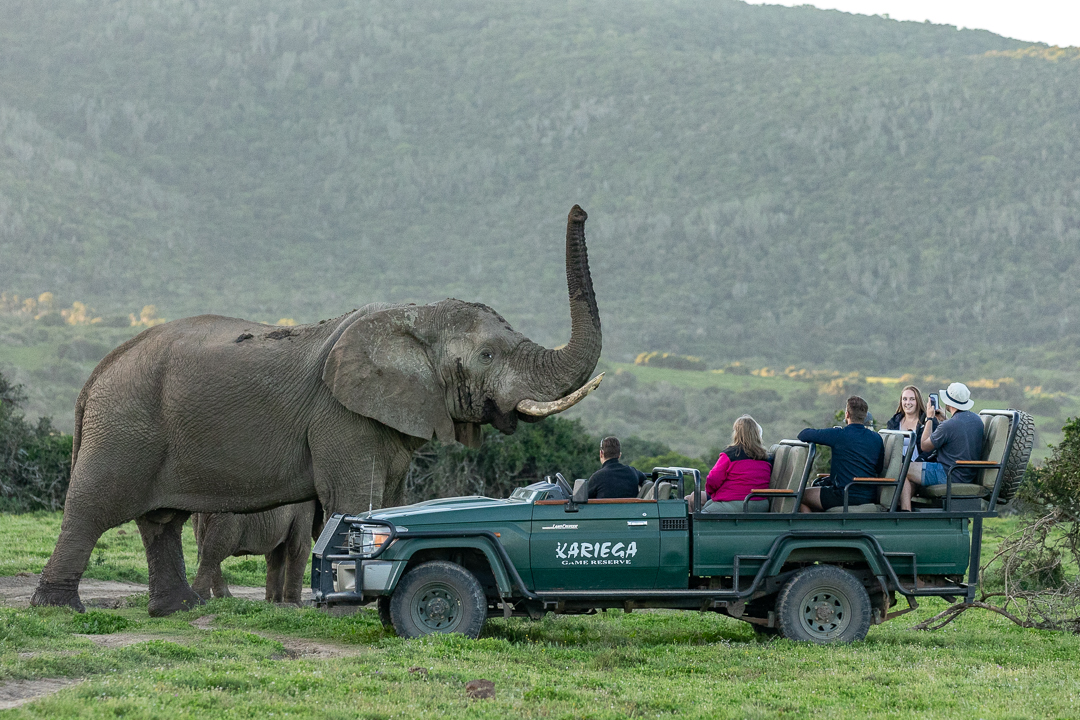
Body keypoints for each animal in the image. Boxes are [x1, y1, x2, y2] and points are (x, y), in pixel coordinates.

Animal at [191, 500, 323, 604]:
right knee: (213, 553)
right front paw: (296, 605)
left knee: (209, 552)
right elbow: (299, 547)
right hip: (225, 518)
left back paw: (224, 598)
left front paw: (273, 602)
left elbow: (276, 553)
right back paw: (202, 599)